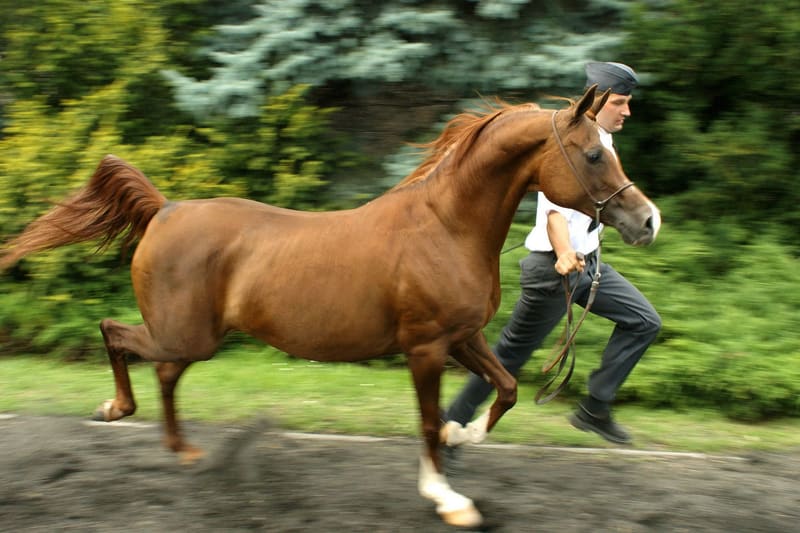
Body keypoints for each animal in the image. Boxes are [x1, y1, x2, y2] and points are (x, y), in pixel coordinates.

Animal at [0, 85, 660, 528]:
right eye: (594, 153)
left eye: (609, 146)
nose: (647, 220)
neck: (444, 226)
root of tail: (165, 210)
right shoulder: (425, 347)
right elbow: (427, 420)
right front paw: (447, 498)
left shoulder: (462, 338)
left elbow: (506, 387)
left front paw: (463, 436)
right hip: (185, 334)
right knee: (116, 332)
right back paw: (115, 409)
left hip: (194, 338)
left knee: (161, 371)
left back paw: (183, 451)